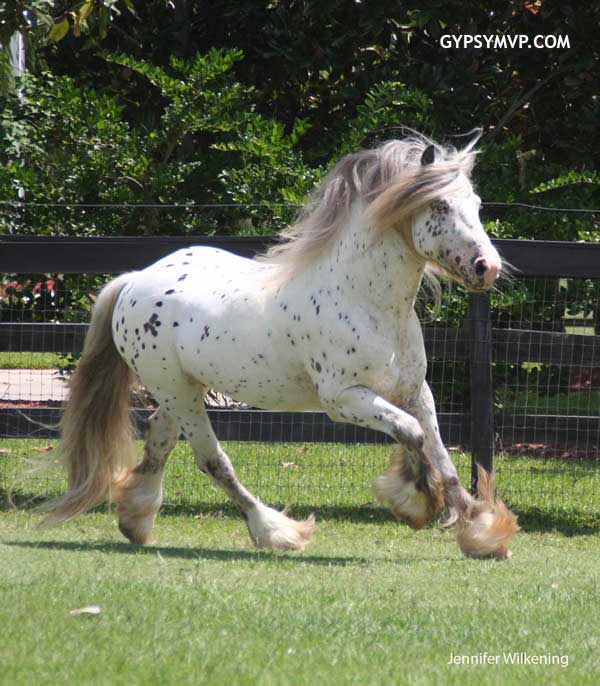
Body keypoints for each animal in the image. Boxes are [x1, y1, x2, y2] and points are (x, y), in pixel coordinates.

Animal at [39, 132, 519, 560]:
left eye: (476, 205)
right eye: (439, 205)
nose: (488, 268)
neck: (365, 300)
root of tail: (134, 280)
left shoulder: (415, 391)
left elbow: (441, 454)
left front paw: (480, 532)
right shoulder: (344, 399)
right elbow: (413, 434)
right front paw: (416, 502)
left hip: (183, 391)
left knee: (158, 437)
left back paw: (135, 522)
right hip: (177, 391)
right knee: (213, 460)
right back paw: (275, 532)